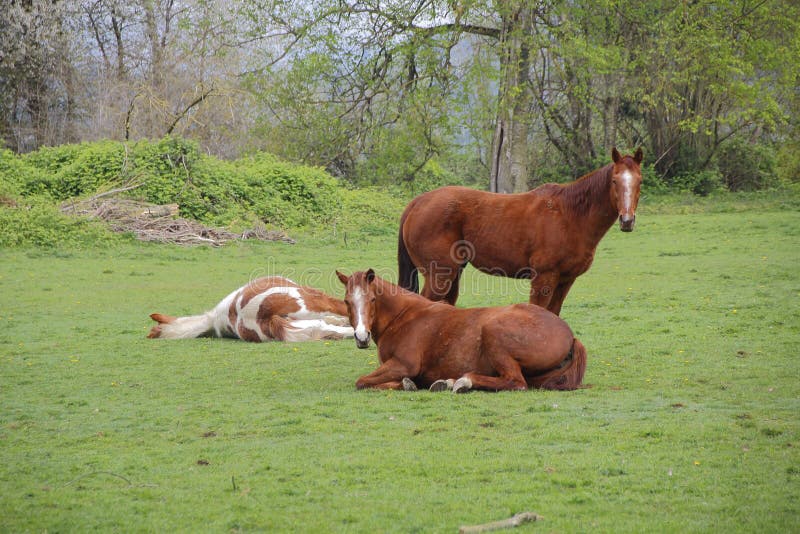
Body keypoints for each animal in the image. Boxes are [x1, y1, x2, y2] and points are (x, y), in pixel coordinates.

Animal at [336, 269, 586, 392]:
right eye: (347, 301)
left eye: (372, 299)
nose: (361, 337)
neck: (404, 317)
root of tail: (569, 335)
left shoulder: (404, 365)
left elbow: (362, 381)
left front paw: (408, 384)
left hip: (494, 335)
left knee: (516, 382)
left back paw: (463, 382)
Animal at [398, 147, 643, 314]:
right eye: (614, 181)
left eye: (639, 181)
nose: (627, 220)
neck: (569, 215)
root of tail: (418, 202)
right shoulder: (544, 278)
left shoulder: (565, 280)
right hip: (439, 275)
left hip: (452, 273)